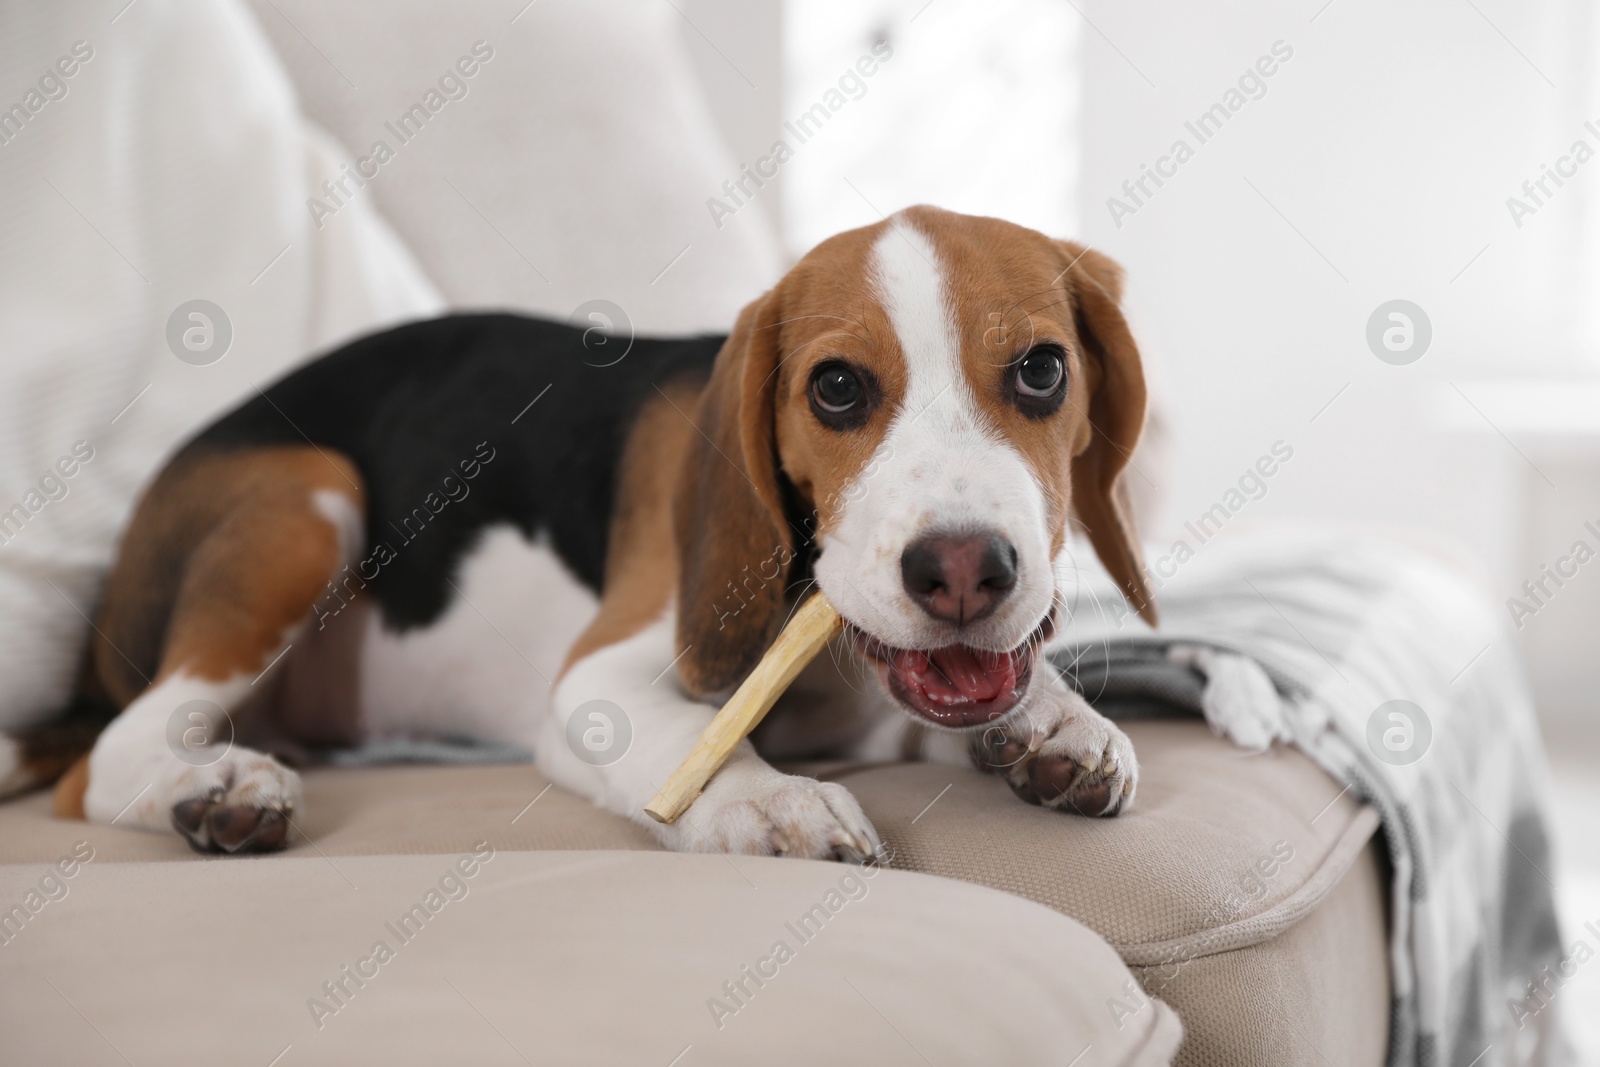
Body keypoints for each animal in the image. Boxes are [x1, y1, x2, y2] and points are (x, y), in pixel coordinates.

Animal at [18, 206, 1158, 857]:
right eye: (835, 389)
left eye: (1042, 370)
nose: (963, 570)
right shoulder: (598, 684)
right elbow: (690, 742)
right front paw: (768, 802)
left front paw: (1054, 721)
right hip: (307, 497)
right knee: (107, 759)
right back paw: (210, 782)